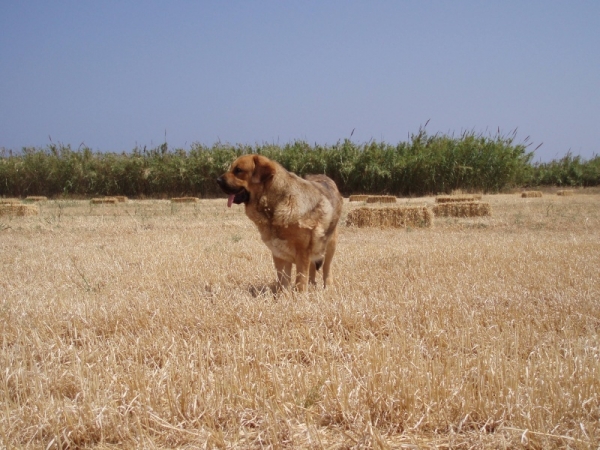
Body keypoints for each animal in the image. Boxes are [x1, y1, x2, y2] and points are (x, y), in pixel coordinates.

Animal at [218, 155, 344, 292]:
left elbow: (300, 281)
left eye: (238, 170)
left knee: (327, 268)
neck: (274, 203)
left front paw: (300, 296)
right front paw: (284, 295)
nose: (217, 180)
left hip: (330, 245)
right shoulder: (279, 253)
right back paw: (312, 285)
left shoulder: (303, 252)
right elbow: (283, 281)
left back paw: (328, 287)